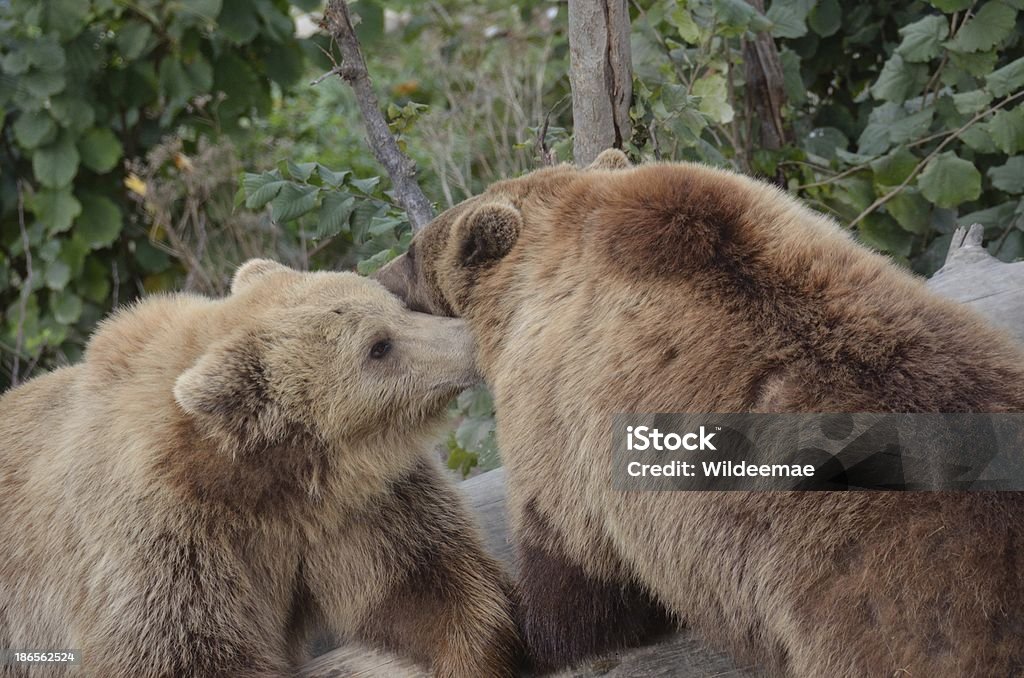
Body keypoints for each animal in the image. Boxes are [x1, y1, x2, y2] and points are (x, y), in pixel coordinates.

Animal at [2, 261, 520, 678]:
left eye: (395, 306)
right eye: (378, 347)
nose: (468, 337)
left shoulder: (352, 508)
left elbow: (420, 577)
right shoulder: (161, 548)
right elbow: (187, 651)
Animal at [376, 153, 1024, 678]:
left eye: (412, 250)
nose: (378, 276)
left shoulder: (558, 406)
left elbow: (572, 565)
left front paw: (532, 630)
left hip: (883, 618)